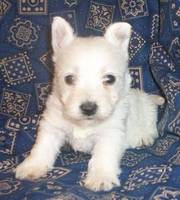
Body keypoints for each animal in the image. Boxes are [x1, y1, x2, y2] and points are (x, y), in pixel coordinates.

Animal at [15, 17, 165, 192]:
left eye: (110, 79)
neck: (84, 124)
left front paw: (101, 177)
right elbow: (42, 147)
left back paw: (144, 136)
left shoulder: (111, 133)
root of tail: (147, 97)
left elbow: (103, 156)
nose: (88, 108)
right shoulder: (52, 126)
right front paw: (32, 166)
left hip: (147, 112)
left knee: (151, 125)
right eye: (69, 79)